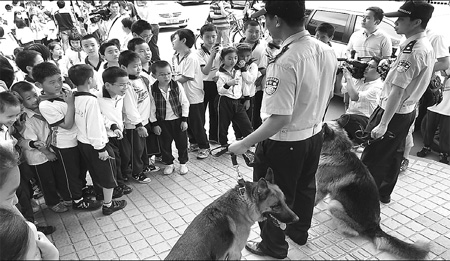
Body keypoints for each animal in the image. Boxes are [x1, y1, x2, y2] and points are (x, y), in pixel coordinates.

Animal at [314, 121, 430, 258]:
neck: (338, 152)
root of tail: (375, 228)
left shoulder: (321, 188)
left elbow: (314, 200)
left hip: (334, 205)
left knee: (353, 231)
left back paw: (344, 228)